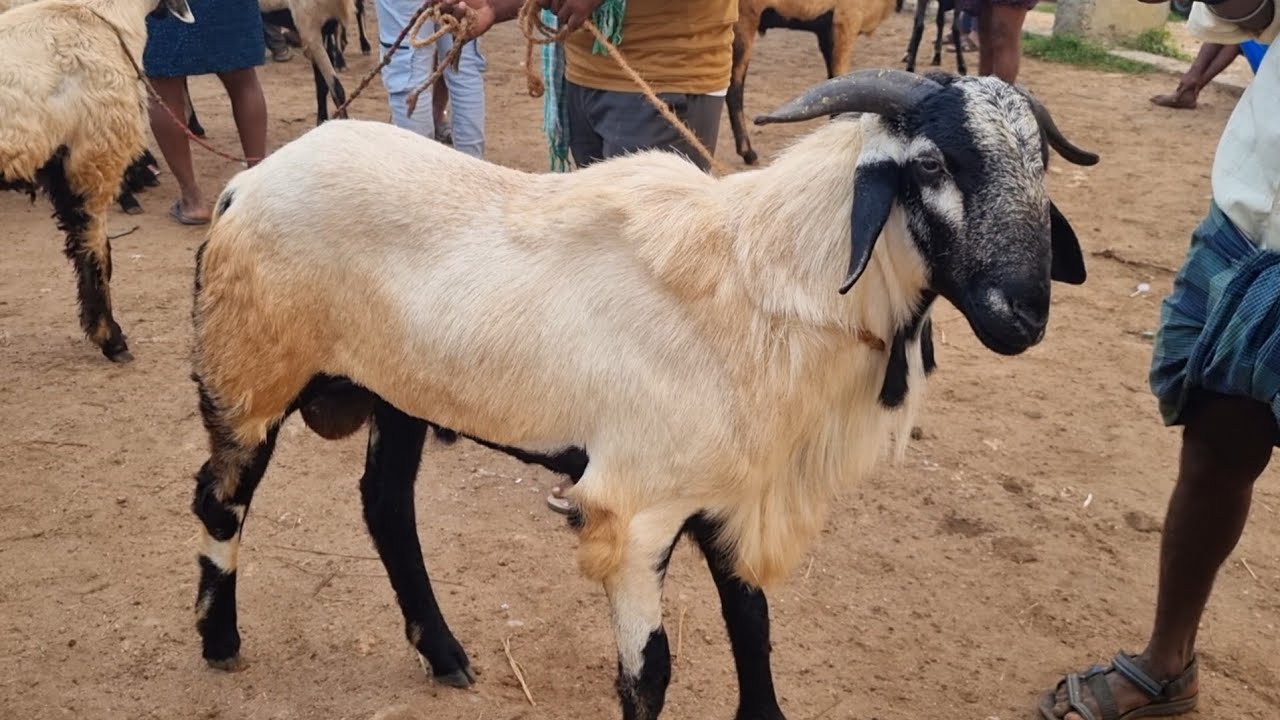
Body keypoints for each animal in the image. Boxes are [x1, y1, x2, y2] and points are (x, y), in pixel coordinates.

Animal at [185, 69, 1097, 719]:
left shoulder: (730, 496)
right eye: (934, 163)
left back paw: (443, 654)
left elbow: (753, 634)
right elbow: (649, 676)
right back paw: (220, 641)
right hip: (251, 369)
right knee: (220, 501)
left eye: (1043, 163)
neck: (765, 283)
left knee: (384, 506)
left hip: (400, 389)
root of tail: (248, 182)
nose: (1023, 315)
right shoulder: (633, 510)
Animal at [729, 0, 897, 166]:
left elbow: (832, 85)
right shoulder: (845, 22)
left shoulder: (826, 34)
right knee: (734, 87)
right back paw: (748, 152)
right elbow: (840, 80)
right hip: (743, 19)